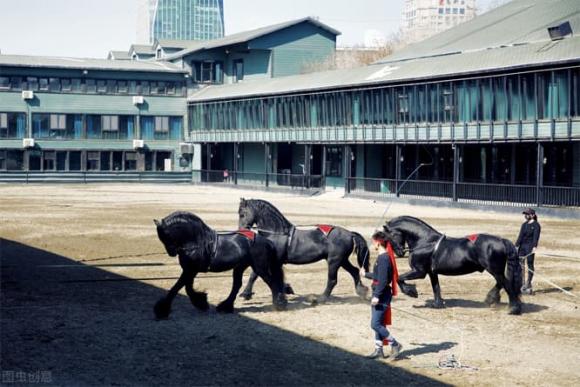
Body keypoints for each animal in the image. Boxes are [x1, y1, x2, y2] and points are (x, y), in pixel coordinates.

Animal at [153, 212, 286, 318]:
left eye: (165, 235)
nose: (171, 253)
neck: (195, 242)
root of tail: (267, 241)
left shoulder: (190, 270)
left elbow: (177, 287)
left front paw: (162, 310)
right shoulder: (190, 271)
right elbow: (187, 288)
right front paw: (201, 302)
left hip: (260, 267)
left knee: (271, 282)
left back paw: (279, 304)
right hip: (240, 267)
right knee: (237, 285)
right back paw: (225, 306)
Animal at [238, 200, 370, 304]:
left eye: (242, 214)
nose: (242, 231)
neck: (276, 233)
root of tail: (350, 233)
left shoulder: (272, 260)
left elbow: (254, 275)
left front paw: (245, 294)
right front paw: (287, 289)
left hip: (334, 261)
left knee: (332, 280)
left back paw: (320, 299)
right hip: (342, 260)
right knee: (355, 271)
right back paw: (362, 292)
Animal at [386, 217, 520, 316]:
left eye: (391, 236)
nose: (400, 252)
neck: (425, 242)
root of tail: (502, 240)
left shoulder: (419, 272)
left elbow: (399, 277)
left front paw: (411, 292)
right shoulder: (432, 272)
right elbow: (436, 287)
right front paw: (437, 305)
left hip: (494, 270)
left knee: (506, 284)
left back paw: (513, 309)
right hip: (495, 270)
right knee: (501, 283)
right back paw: (491, 299)